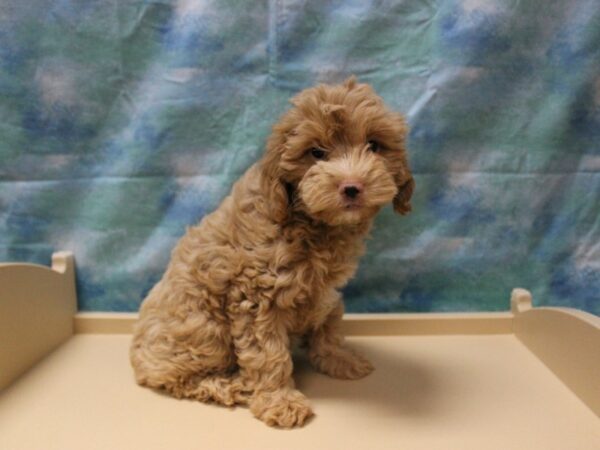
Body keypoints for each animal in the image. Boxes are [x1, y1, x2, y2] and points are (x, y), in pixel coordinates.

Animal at [130, 78, 412, 428]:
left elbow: (329, 322)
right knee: (179, 378)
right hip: (204, 332)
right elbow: (267, 354)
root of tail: (135, 353)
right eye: (316, 153)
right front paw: (280, 401)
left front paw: (338, 358)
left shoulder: (325, 290)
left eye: (374, 145)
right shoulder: (255, 298)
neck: (308, 221)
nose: (351, 186)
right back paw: (228, 385)